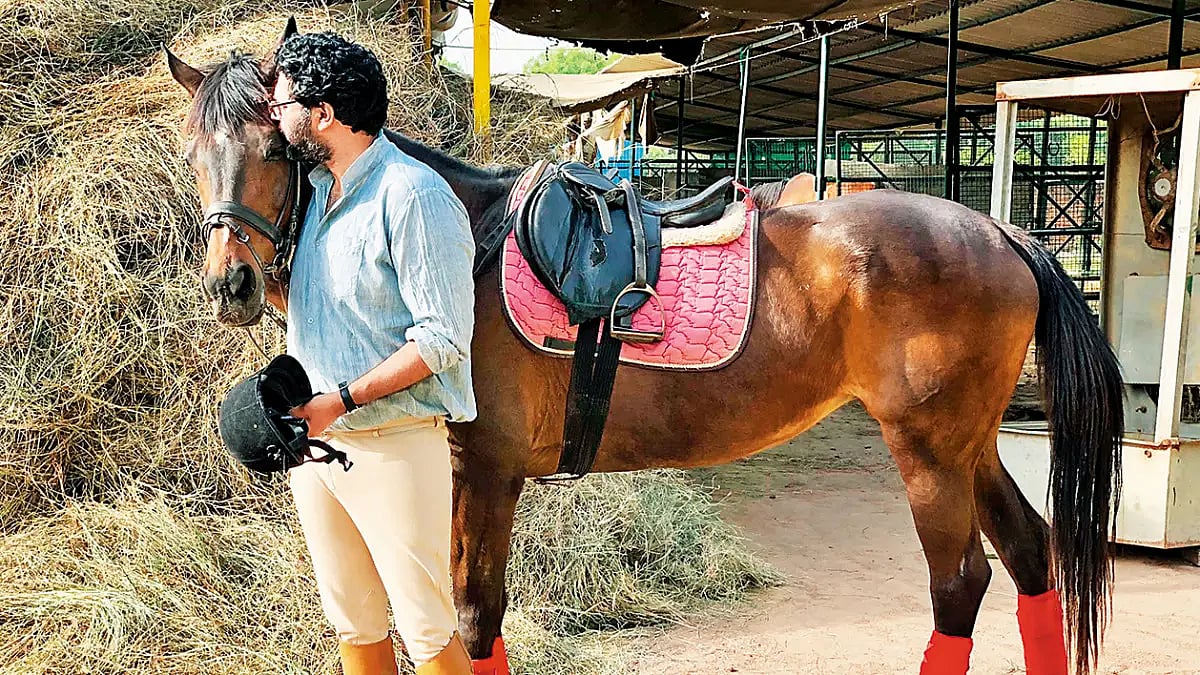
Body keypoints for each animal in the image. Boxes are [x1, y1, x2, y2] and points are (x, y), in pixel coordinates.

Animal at [164, 29, 1123, 675]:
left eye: (277, 144)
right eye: (194, 149)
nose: (229, 284)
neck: (469, 244)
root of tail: (1000, 232)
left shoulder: (486, 471)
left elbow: (473, 615)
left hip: (927, 450)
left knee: (959, 583)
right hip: (970, 444)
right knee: (1031, 553)